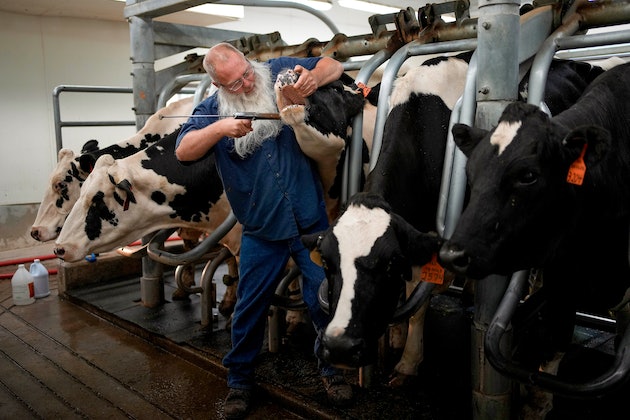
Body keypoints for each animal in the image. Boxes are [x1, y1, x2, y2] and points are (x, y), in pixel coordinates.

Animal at [304, 50, 620, 386]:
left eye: (388, 264)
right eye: (327, 263)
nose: (339, 346)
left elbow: (418, 299)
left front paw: (407, 363)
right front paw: (397, 337)